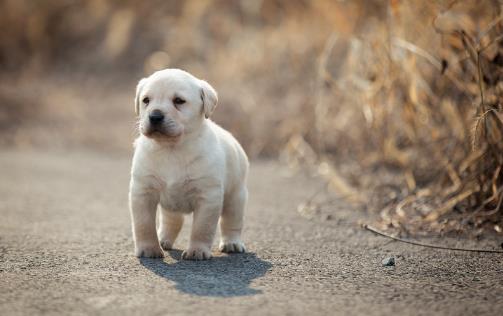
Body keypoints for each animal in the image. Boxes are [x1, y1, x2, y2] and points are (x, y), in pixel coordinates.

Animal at [129, 68, 249, 260]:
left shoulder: (208, 196)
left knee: (232, 221)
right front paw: (149, 249)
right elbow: (143, 224)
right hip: (170, 205)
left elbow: (202, 228)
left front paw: (197, 251)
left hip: (236, 196)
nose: (155, 116)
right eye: (146, 100)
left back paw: (232, 243)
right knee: (172, 221)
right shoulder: (143, 191)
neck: (171, 149)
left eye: (179, 101)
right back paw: (163, 239)